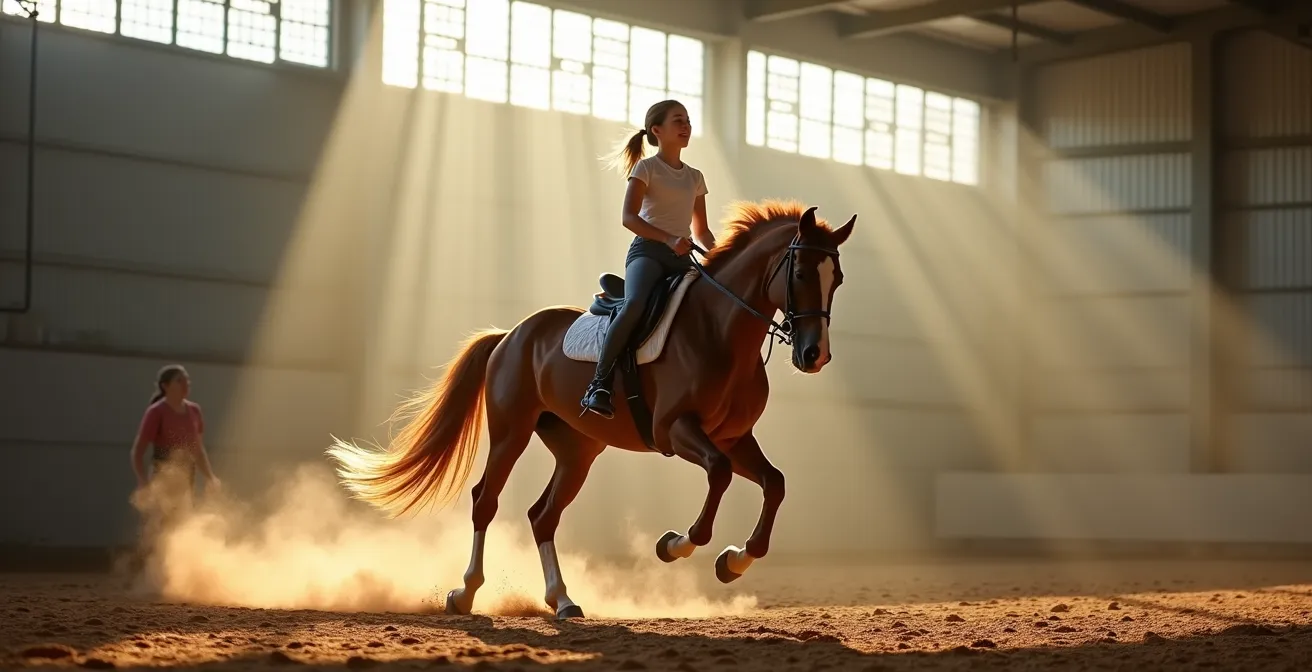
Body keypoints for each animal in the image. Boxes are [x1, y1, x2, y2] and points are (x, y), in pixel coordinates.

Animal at [328, 200, 855, 619]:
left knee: (543, 516)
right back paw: (465, 594)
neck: (718, 331)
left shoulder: (733, 437)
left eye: (838, 279)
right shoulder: (676, 429)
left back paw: (562, 601)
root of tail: (511, 335)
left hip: (577, 450)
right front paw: (674, 545)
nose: (815, 355)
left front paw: (735, 560)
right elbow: (720, 475)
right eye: (802, 273)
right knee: (485, 501)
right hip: (511, 433)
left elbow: (774, 483)